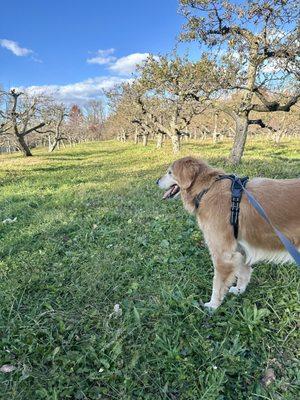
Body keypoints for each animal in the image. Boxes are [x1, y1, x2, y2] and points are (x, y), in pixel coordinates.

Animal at [157, 156, 300, 310]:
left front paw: (212, 305)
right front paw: (239, 290)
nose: (156, 181)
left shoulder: (222, 256)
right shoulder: (240, 249)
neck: (207, 189)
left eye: (169, 172)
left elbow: (217, 285)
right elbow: (244, 272)